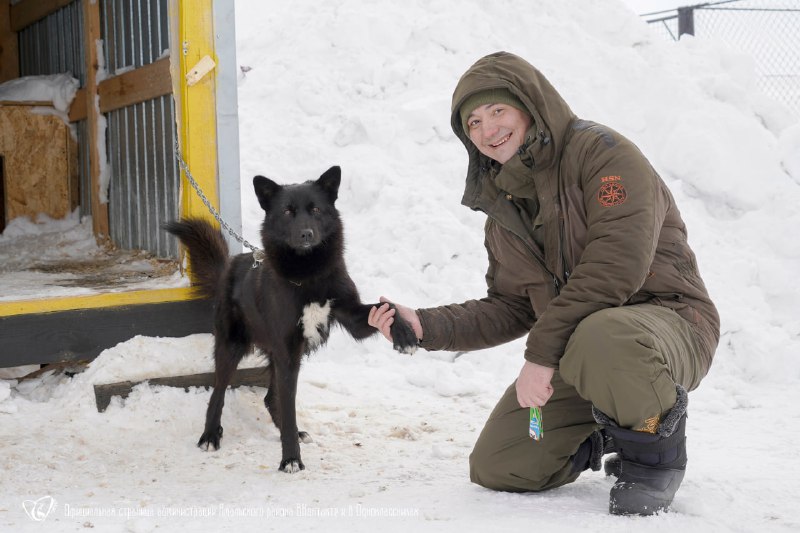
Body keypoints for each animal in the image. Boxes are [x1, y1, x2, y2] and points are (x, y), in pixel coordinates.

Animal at [164, 165, 418, 470]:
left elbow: (388, 306)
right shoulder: (287, 351)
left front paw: (406, 335)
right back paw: (210, 435)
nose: (306, 234)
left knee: (269, 398)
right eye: (287, 211)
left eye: (316, 209)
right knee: (219, 393)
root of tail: (228, 267)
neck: (309, 276)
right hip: (233, 347)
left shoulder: (351, 318)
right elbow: (288, 408)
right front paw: (291, 460)